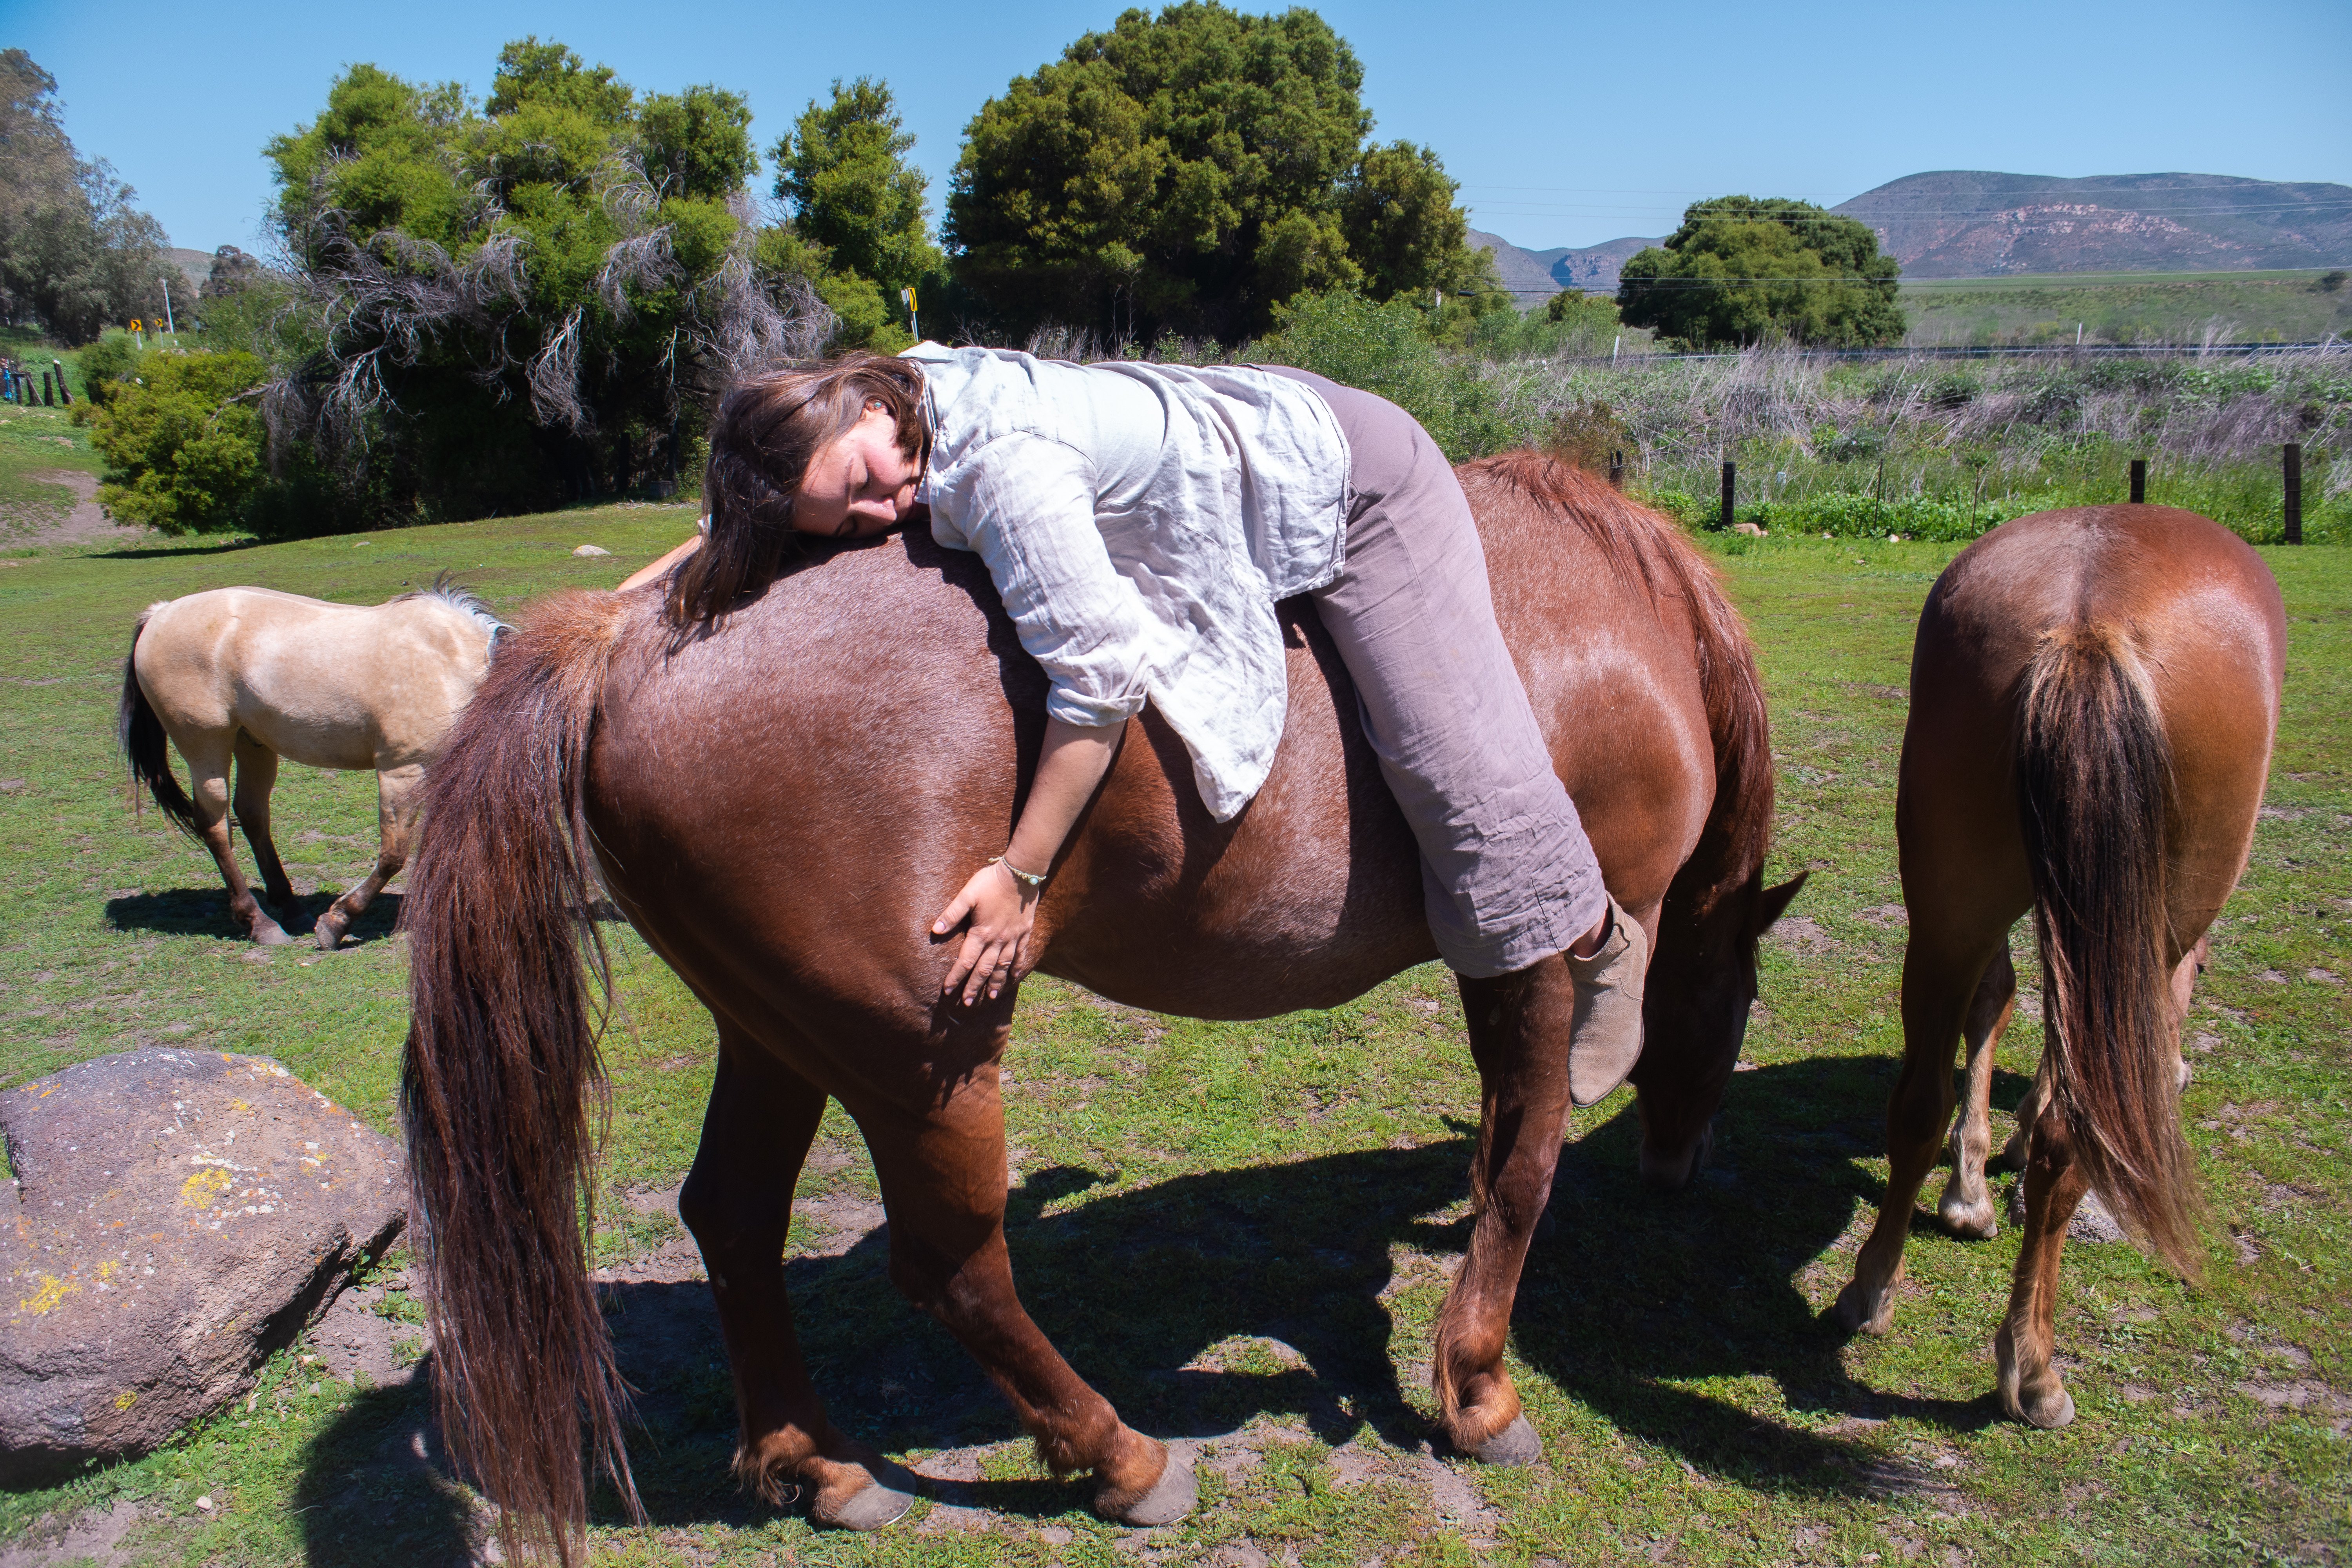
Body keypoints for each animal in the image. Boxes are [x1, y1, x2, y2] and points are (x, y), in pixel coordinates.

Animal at [119, 575, 509, 950]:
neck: (452, 667)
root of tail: (160, 612)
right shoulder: (403, 770)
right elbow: (394, 855)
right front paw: (338, 922)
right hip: (206, 746)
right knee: (214, 825)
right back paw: (259, 922)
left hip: (253, 745)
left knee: (252, 814)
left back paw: (291, 908)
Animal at [400, 452, 1805, 1563]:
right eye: (1735, 1004)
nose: (1683, 1161)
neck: (1614, 615)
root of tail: (632, 635)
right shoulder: (1538, 954)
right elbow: (1519, 1166)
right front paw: (1477, 1390)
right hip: (925, 1066)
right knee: (953, 1266)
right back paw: (1119, 1458)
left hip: (777, 1042)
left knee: (734, 1221)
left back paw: (823, 1468)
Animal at [1831, 504, 2285, 1430]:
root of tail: (2088, 623)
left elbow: (1998, 1005)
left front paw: (1970, 1188)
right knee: (2072, 1136)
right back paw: (2031, 1368)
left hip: (1949, 902)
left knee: (1920, 1097)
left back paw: (1874, 1289)